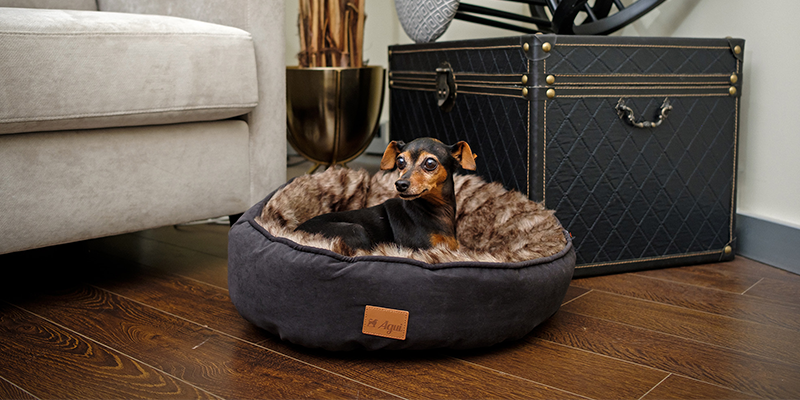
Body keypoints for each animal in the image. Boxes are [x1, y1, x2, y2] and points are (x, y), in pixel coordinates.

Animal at [295, 137, 477, 251]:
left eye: (430, 163)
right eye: (400, 161)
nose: (400, 184)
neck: (435, 209)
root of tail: (295, 232)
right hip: (356, 230)